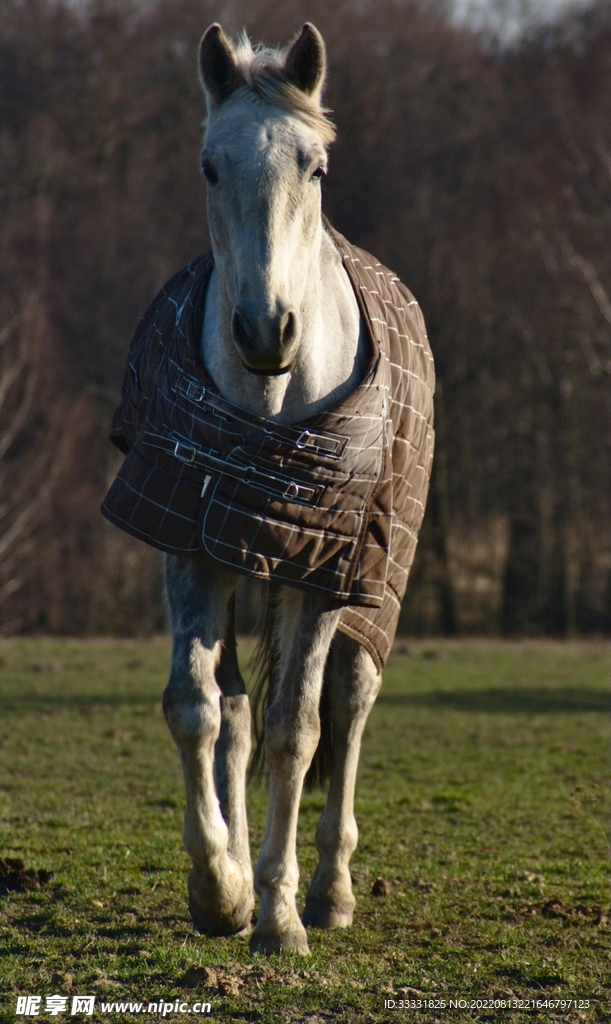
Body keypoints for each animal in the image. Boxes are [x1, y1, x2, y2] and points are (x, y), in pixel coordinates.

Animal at [102, 21, 435, 956]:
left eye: (314, 166)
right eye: (209, 166)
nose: (263, 330)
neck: (269, 409)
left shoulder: (322, 569)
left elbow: (298, 731)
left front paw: (281, 916)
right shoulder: (190, 544)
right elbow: (198, 710)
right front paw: (222, 892)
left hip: (372, 585)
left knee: (346, 707)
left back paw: (329, 892)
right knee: (237, 713)